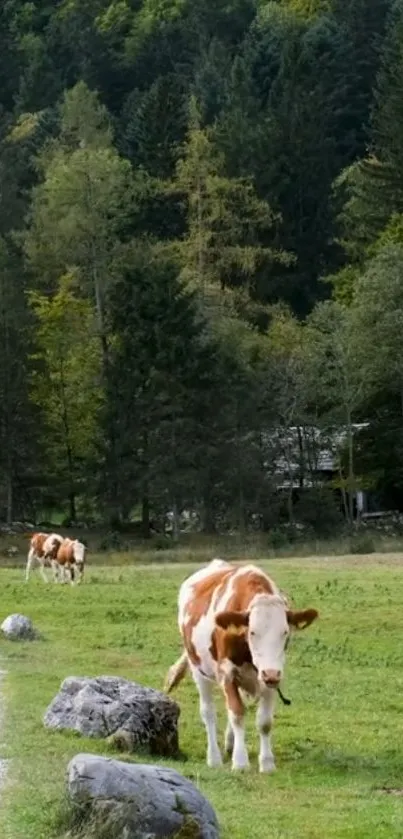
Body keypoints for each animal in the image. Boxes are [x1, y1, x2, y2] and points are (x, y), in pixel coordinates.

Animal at [166, 556, 320, 776]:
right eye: (252, 632)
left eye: (285, 632)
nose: (271, 674)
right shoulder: (227, 673)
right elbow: (237, 713)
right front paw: (240, 762)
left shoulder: (271, 677)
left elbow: (264, 721)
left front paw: (267, 763)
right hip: (198, 670)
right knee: (208, 712)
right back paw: (214, 757)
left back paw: (230, 744)